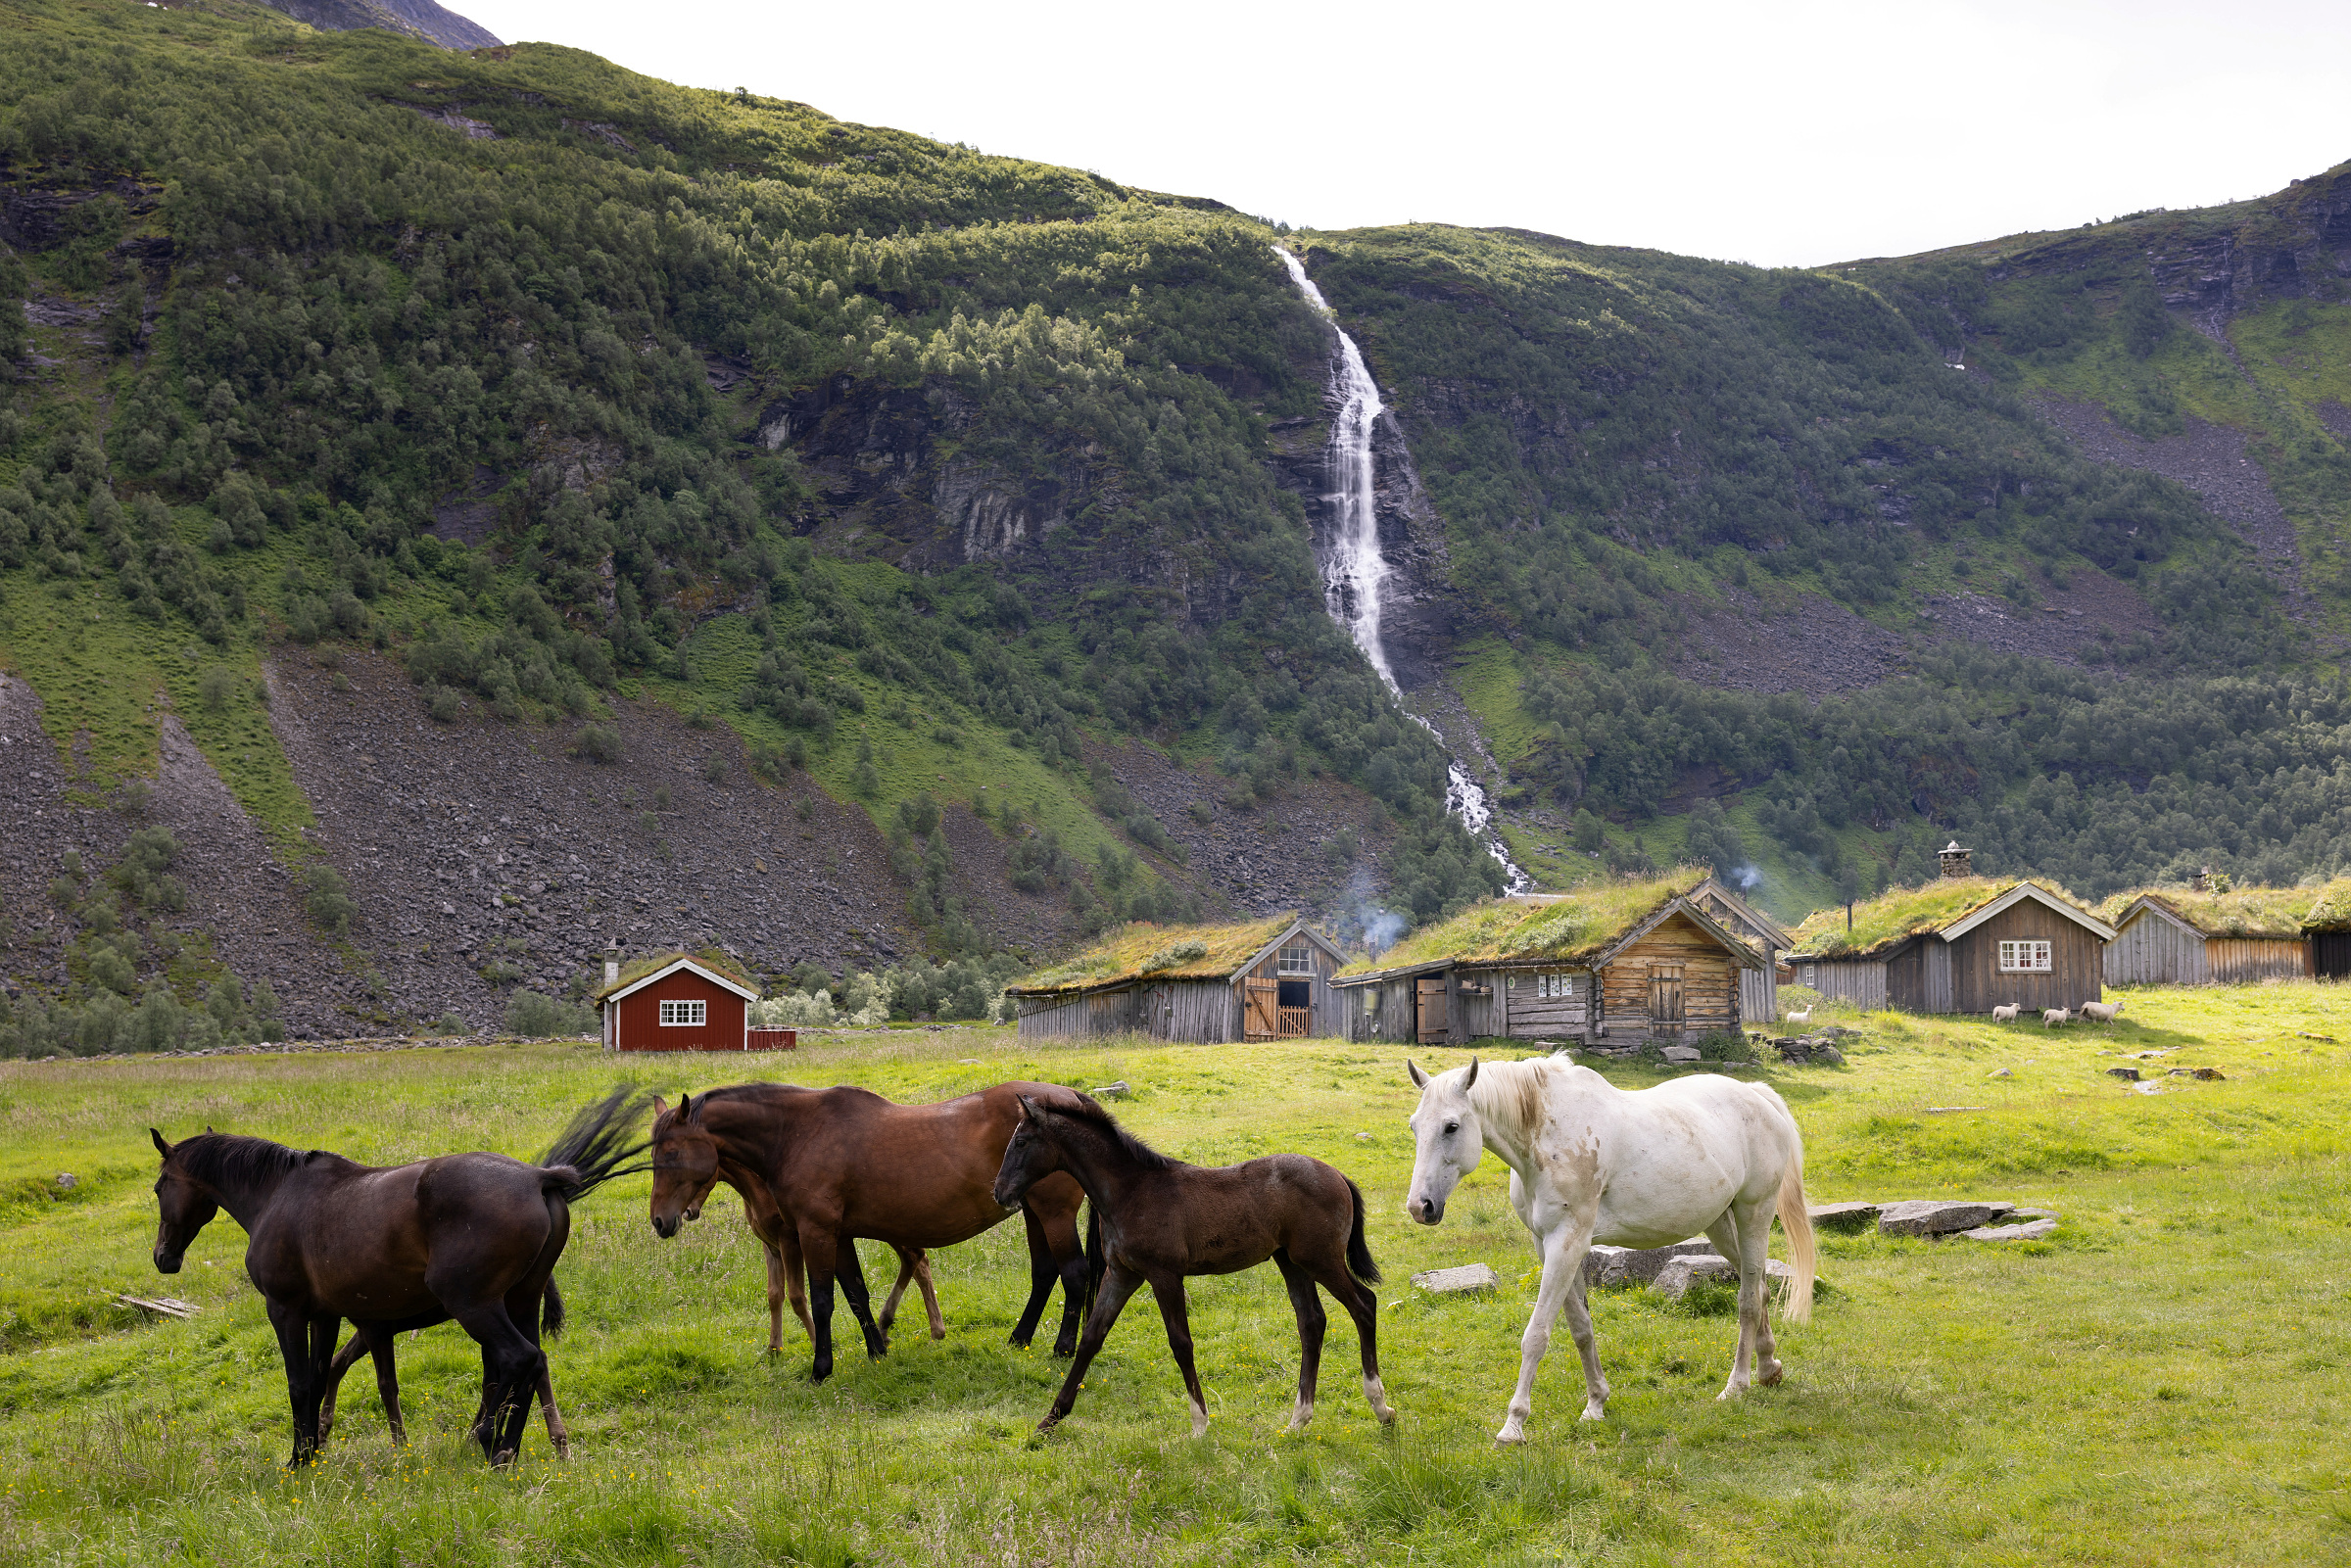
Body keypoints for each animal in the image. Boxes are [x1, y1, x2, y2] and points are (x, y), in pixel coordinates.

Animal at [153, 1085, 653, 1466]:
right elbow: (321, 1377)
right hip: (521, 1301)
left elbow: (299, 1383)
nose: (163, 1257)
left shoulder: (287, 1311)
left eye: (159, 1187)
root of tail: (538, 1177)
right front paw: (313, 1453)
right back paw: (508, 1448)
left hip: (474, 1305)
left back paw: (491, 1443)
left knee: (518, 1359)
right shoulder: (328, 1316)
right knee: (531, 1365)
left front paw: (297, 1459)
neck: (278, 1195)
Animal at [653, 1081, 1090, 1382]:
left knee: (1074, 1274)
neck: (797, 1134)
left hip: (1053, 1214)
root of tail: (1071, 1096)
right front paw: (877, 1352)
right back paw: (1020, 1338)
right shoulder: (839, 1235)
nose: (660, 1220)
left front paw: (821, 1367)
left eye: (672, 1154)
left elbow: (822, 1300)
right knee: (1044, 1274)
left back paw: (1062, 1349)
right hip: (1034, 1213)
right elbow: (856, 1295)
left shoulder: (814, 1233)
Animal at [991, 1090, 1391, 1438]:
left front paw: (1199, 1424)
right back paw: (1299, 1419)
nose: (999, 1192)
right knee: (1311, 1322)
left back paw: (1381, 1407)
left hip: (1320, 1259)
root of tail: (1338, 1176)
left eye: (1022, 1142)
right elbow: (1091, 1338)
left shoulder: (1165, 1275)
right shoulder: (1122, 1274)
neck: (1131, 1191)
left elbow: (1181, 1343)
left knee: (1364, 1305)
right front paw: (1050, 1419)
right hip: (1291, 1262)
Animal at [1391, 1053, 1814, 1448]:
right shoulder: (1549, 1246)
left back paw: (1736, 1386)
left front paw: (1513, 1426)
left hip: (1754, 1214)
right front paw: (1596, 1402)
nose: (1419, 1207)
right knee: (1759, 1287)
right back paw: (1769, 1369)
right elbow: (1581, 1328)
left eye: (1451, 1126)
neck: (1547, 1135)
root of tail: (1757, 1096)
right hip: (1721, 1224)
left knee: (1747, 1299)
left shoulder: (1567, 1242)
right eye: (1414, 1126)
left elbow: (1536, 1335)